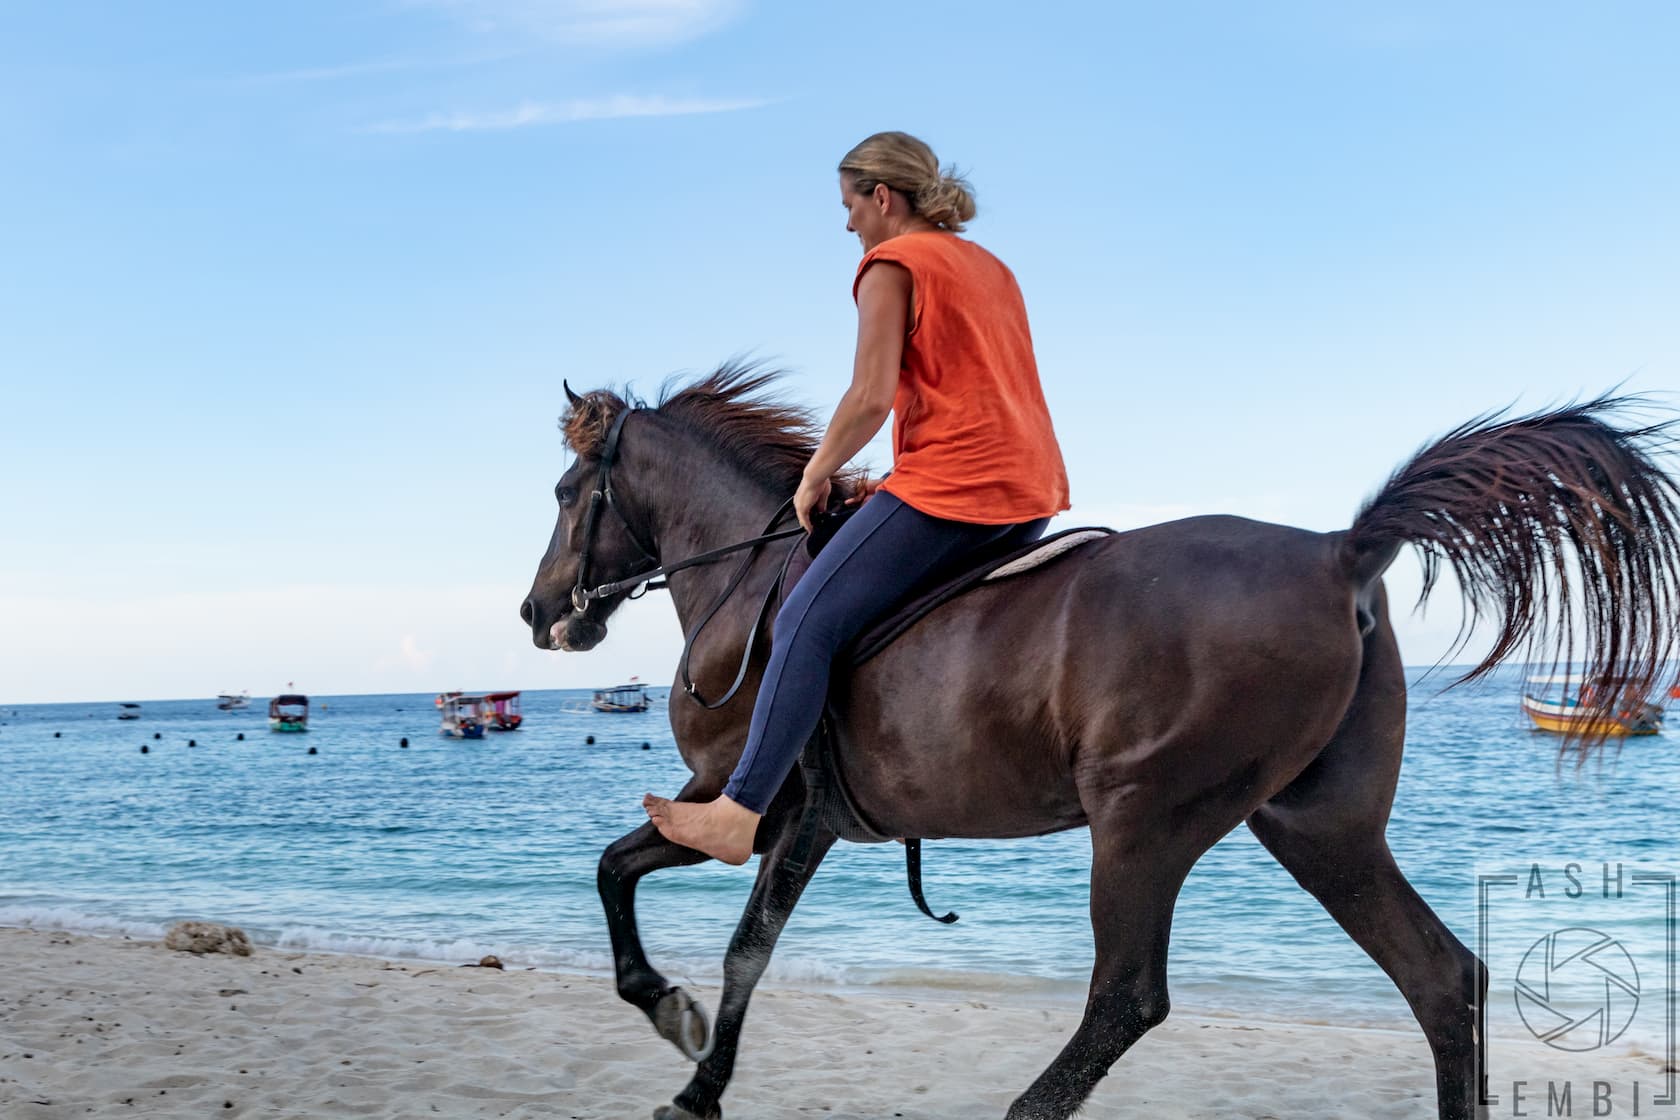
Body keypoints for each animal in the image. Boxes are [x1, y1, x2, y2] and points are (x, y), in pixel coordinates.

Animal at [517, 367, 1673, 1120]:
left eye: (570, 495)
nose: (537, 612)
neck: (752, 578)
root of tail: (1340, 549)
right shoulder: (807, 824)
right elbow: (719, 933)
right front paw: (694, 1068)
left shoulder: (750, 805)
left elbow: (659, 896)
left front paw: (669, 1018)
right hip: (1318, 828)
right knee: (1442, 982)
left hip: (1145, 821)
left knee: (1125, 998)